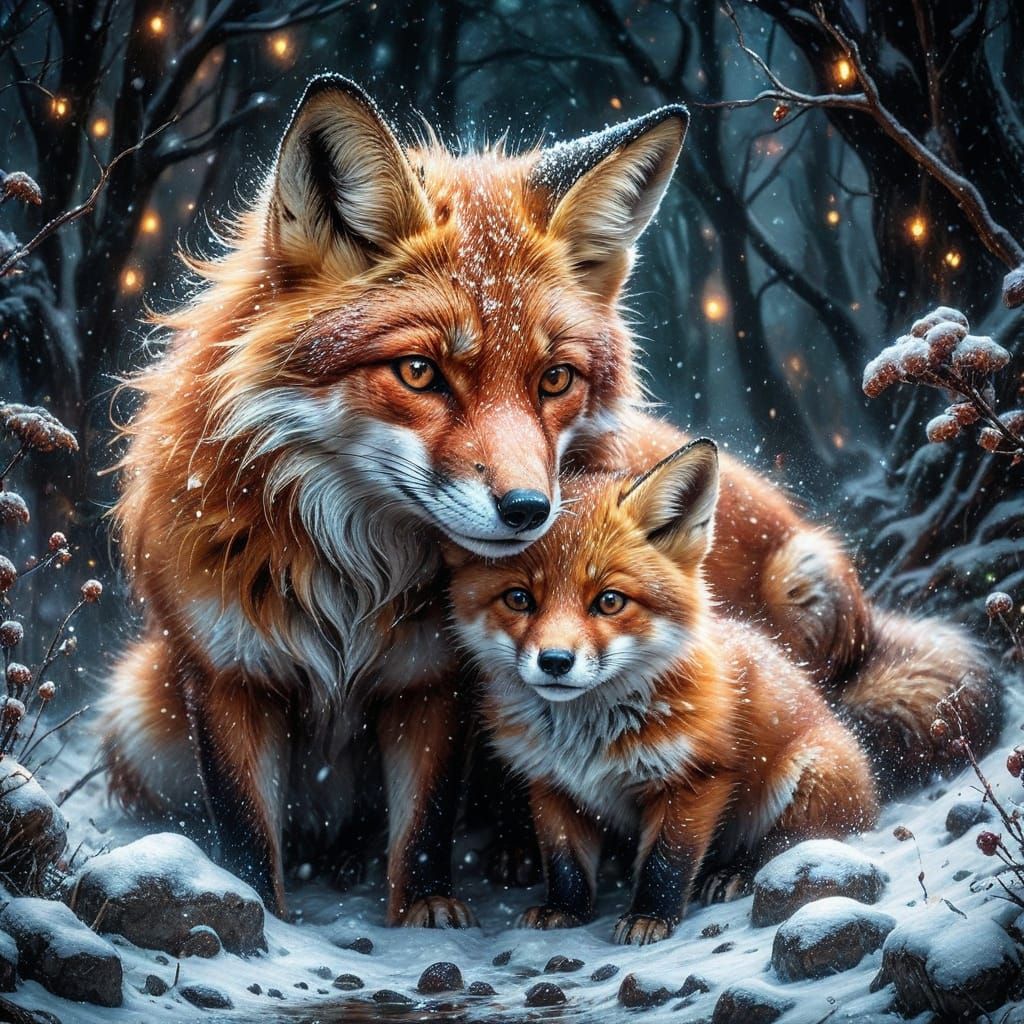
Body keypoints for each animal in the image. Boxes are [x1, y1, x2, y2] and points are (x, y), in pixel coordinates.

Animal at [448, 439, 880, 945]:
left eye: (609, 601)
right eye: (519, 599)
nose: (555, 661)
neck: (584, 739)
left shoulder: (696, 779)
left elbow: (666, 863)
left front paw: (649, 917)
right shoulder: (551, 785)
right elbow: (565, 861)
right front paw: (565, 911)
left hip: (806, 776)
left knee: (795, 844)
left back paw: (736, 873)